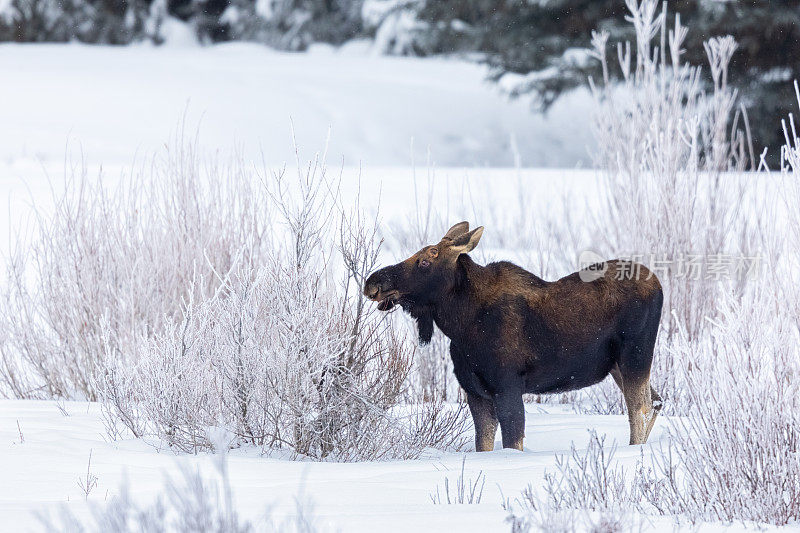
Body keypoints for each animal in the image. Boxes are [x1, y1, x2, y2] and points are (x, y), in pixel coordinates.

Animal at [362, 220, 664, 448]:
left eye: (425, 260)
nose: (372, 282)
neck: (460, 325)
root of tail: (659, 285)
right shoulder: (475, 392)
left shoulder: (507, 386)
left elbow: (512, 440)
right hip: (618, 366)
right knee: (656, 402)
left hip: (636, 356)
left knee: (641, 407)